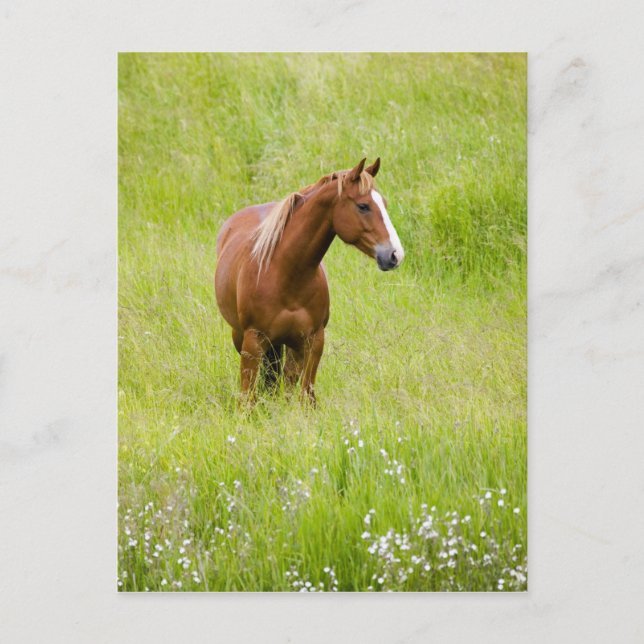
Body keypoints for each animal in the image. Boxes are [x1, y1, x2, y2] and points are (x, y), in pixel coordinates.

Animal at [214, 157, 405, 405]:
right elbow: (248, 398)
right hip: (242, 337)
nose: (395, 255)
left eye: (384, 204)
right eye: (363, 206)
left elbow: (306, 396)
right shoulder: (252, 343)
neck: (285, 274)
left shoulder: (313, 341)